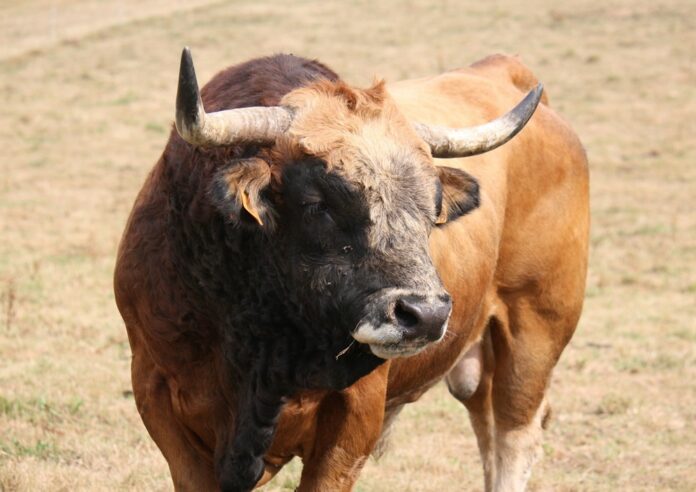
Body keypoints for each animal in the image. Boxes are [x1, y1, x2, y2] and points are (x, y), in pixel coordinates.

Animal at [114, 47, 589, 492]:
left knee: (513, 434)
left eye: (434, 205)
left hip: (536, 330)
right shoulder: (156, 395)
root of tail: (502, 68)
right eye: (316, 202)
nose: (426, 315)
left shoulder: (354, 420)